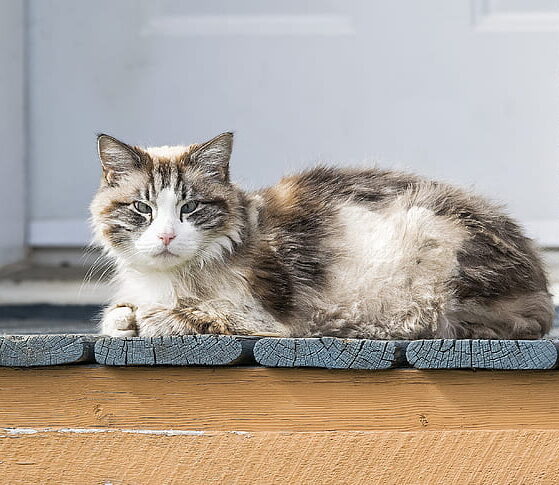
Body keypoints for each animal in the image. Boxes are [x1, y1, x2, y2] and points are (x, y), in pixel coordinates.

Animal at [92, 130, 556, 338]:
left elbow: (196, 315)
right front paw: (126, 317)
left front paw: (153, 319)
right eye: (142, 208)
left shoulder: (263, 318)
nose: (167, 237)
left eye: (190, 208)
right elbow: (115, 314)